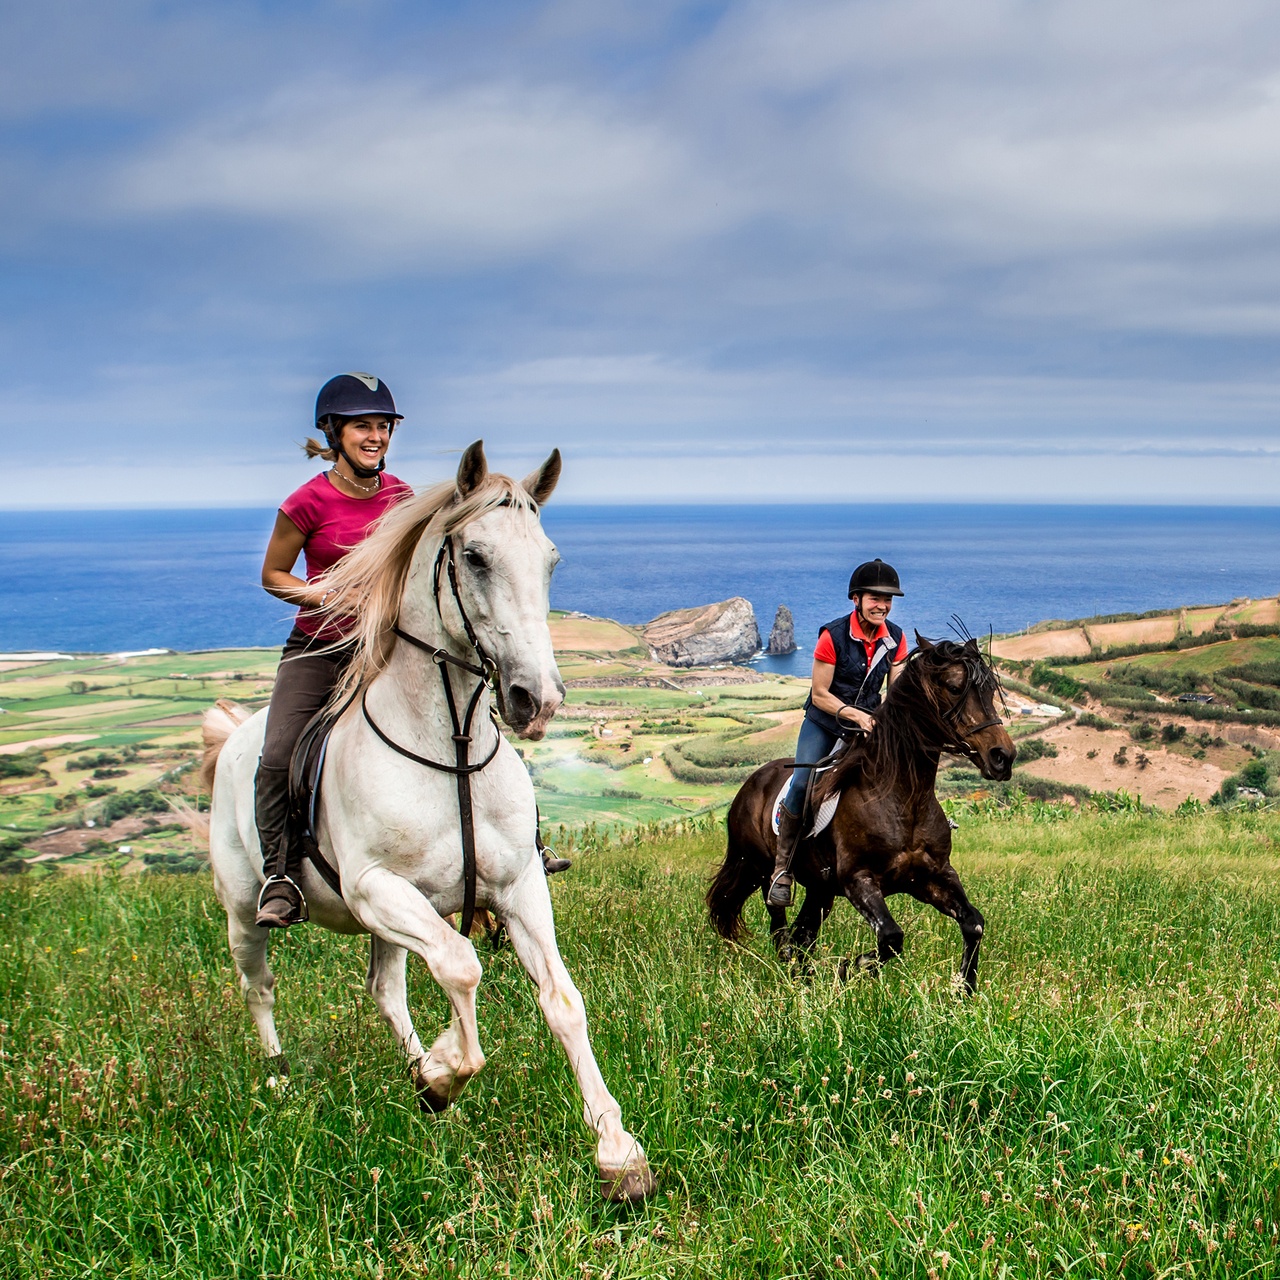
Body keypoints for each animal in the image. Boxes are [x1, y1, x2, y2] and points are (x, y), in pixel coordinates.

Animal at [206, 440, 660, 1198]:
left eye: (550, 560)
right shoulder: (377, 888)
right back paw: (281, 1082)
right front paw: (452, 1068)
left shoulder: (518, 889)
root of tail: (234, 736)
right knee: (259, 984)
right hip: (250, 907)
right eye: (474, 556)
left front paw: (618, 1152)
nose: (537, 699)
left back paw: (419, 1075)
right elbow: (461, 964)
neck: (450, 747)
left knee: (385, 990)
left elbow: (562, 1001)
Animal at [706, 637, 1013, 988]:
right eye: (954, 688)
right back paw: (796, 974)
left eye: (989, 690)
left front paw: (964, 988)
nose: (1003, 757)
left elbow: (973, 923)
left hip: (820, 890)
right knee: (781, 931)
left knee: (802, 935)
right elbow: (891, 937)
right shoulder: (858, 880)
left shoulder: (932, 876)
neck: (904, 798)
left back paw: (806, 979)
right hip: (761, 869)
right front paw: (848, 969)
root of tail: (749, 785)